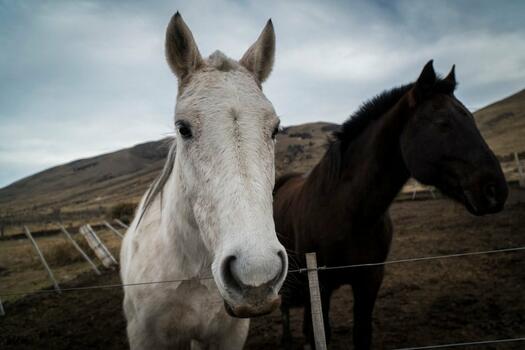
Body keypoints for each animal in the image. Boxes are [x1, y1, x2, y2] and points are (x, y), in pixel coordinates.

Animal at [119, 12, 286, 348]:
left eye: (275, 128)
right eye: (183, 128)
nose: (256, 274)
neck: (193, 270)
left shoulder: (230, 334)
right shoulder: (145, 336)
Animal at [274, 60, 508, 350]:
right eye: (443, 123)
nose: (496, 190)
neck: (348, 210)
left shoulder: (370, 280)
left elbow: (361, 335)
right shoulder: (322, 284)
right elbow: (320, 332)